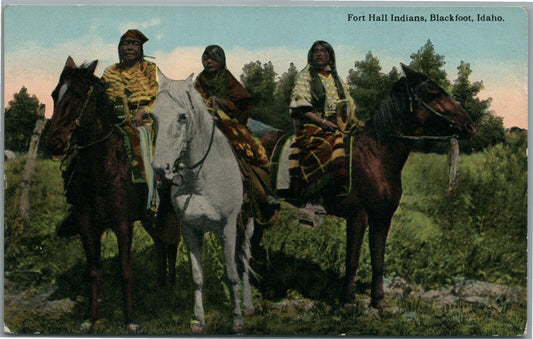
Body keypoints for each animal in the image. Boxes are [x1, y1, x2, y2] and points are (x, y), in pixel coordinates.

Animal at [46, 57, 179, 334]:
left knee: (173, 243)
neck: (104, 170)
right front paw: (91, 318)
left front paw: (130, 320)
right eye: (54, 94)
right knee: (161, 244)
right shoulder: (88, 226)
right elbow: (93, 270)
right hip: (149, 217)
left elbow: (125, 270)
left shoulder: (123, 224)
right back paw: (162, 284)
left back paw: (173, 285)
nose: (53, 143)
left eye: (77, 95)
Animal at [152, 73, 256, 336]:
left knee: (244, 259)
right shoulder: (190, 230)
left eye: (182, 116)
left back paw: (248, 305)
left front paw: (237, 320)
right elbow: (197, 278)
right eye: (153, 116)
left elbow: (231, 274)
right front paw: (198, 320)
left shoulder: (228, 226)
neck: (200, 178)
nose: (160, 169)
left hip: (247, 224)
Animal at [262, 63, 474, 310]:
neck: (376, 156)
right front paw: (347, 301)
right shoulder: (358, 216)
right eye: (433, 92)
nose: (470, 126)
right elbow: (352, 260)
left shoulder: (382, 218)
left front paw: (379, 301)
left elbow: (378, 260)